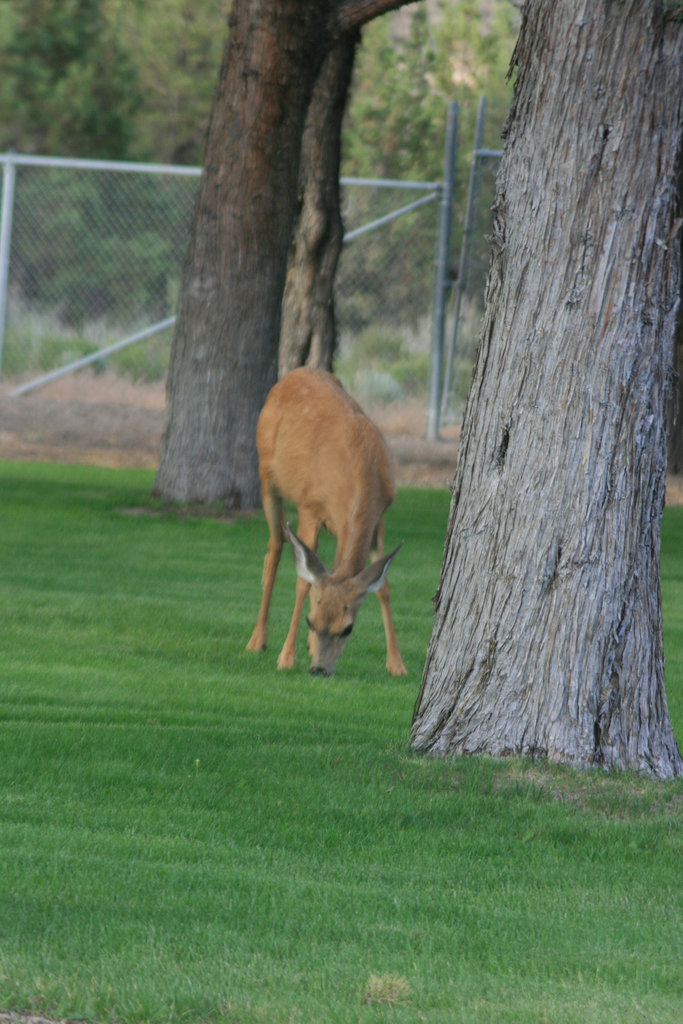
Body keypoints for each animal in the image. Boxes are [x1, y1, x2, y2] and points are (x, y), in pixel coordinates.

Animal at [245, 368, 405, 679]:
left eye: (348, 628)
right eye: (310, 621)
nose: (319, 669)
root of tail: (294, 374)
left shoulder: (379, 517)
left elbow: (384, 587)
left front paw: (396, 664)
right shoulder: (310, 506)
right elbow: (301, 583)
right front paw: (286, 657)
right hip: (267, 477)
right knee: (275, 547)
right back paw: (257, 640)